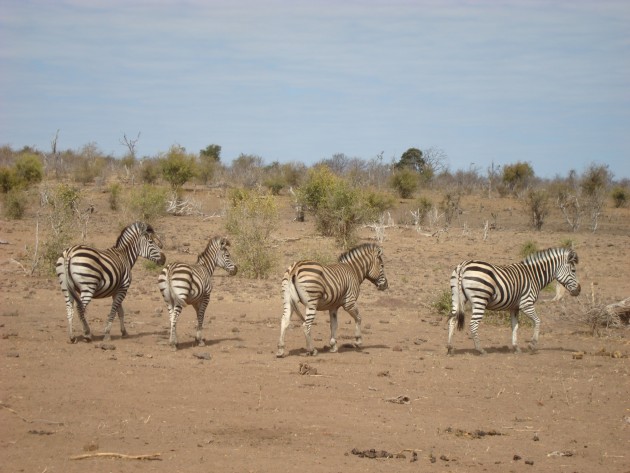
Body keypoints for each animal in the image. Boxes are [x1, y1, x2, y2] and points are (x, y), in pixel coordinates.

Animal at [450, 247, 584, 354]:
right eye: (573, 271)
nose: (579, 290)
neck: (534, 276)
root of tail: (463, 265)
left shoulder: (514, 308)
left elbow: (515, 326)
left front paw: (516, 347)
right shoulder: (526, 304)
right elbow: (537, 321)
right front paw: (532, 345)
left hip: (456, 298)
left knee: (452, 320)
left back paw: (449, 347)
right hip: (480, 300)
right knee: (473, 323)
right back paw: (480, 349)